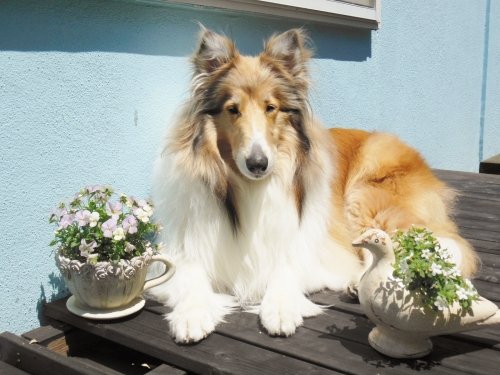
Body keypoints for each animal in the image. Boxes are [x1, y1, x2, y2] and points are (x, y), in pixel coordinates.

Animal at [150, 27, 478, 344]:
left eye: (271, 107)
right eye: (232, 109)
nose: (258, 164)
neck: (251, 188)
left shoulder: (307, 243)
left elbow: (285, 266)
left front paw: (280, 308)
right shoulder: (190, 246)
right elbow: (191, 276)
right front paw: (191, 315)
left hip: (365, 198)